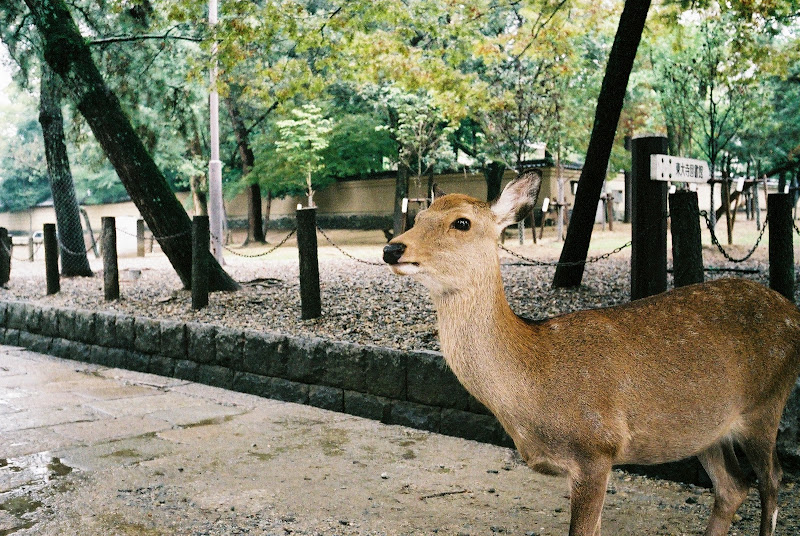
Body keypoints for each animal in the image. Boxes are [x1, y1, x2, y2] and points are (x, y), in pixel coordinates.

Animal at [382, 171, 800, 536]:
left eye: (462, 223)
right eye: (417, 217)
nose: (391, 248)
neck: (533, 380)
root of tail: (793, 313)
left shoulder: (597, 448)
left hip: (766, 404)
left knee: (773, 480)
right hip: (707, 429)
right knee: (733, 486)